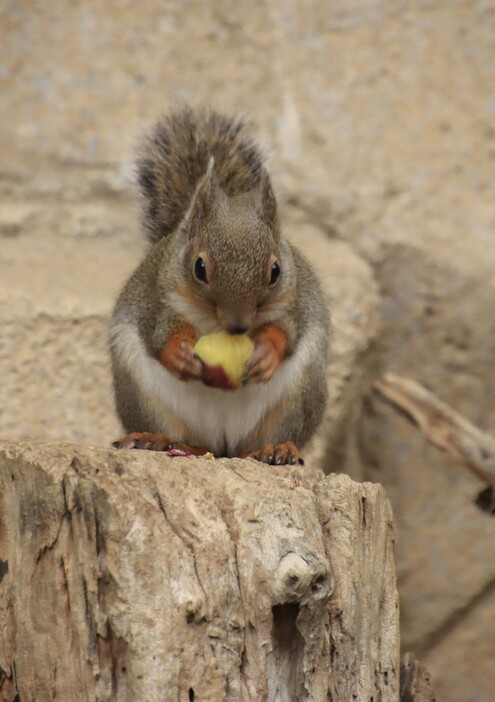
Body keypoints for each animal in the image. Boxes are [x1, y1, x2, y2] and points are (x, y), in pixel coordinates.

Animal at [110, 107, 332, 468]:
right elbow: (160, 335)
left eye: (275, 271)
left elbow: (286, 332)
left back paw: (276, 450)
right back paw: (157, 440)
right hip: (144, 397)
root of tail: (224, 447)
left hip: (298, 398)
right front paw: (179, 355)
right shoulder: (158, 301)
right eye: (199, 268)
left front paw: (267, 355)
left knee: (267, 439)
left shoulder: (292, 303)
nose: (238, 326)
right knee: (187, 439)